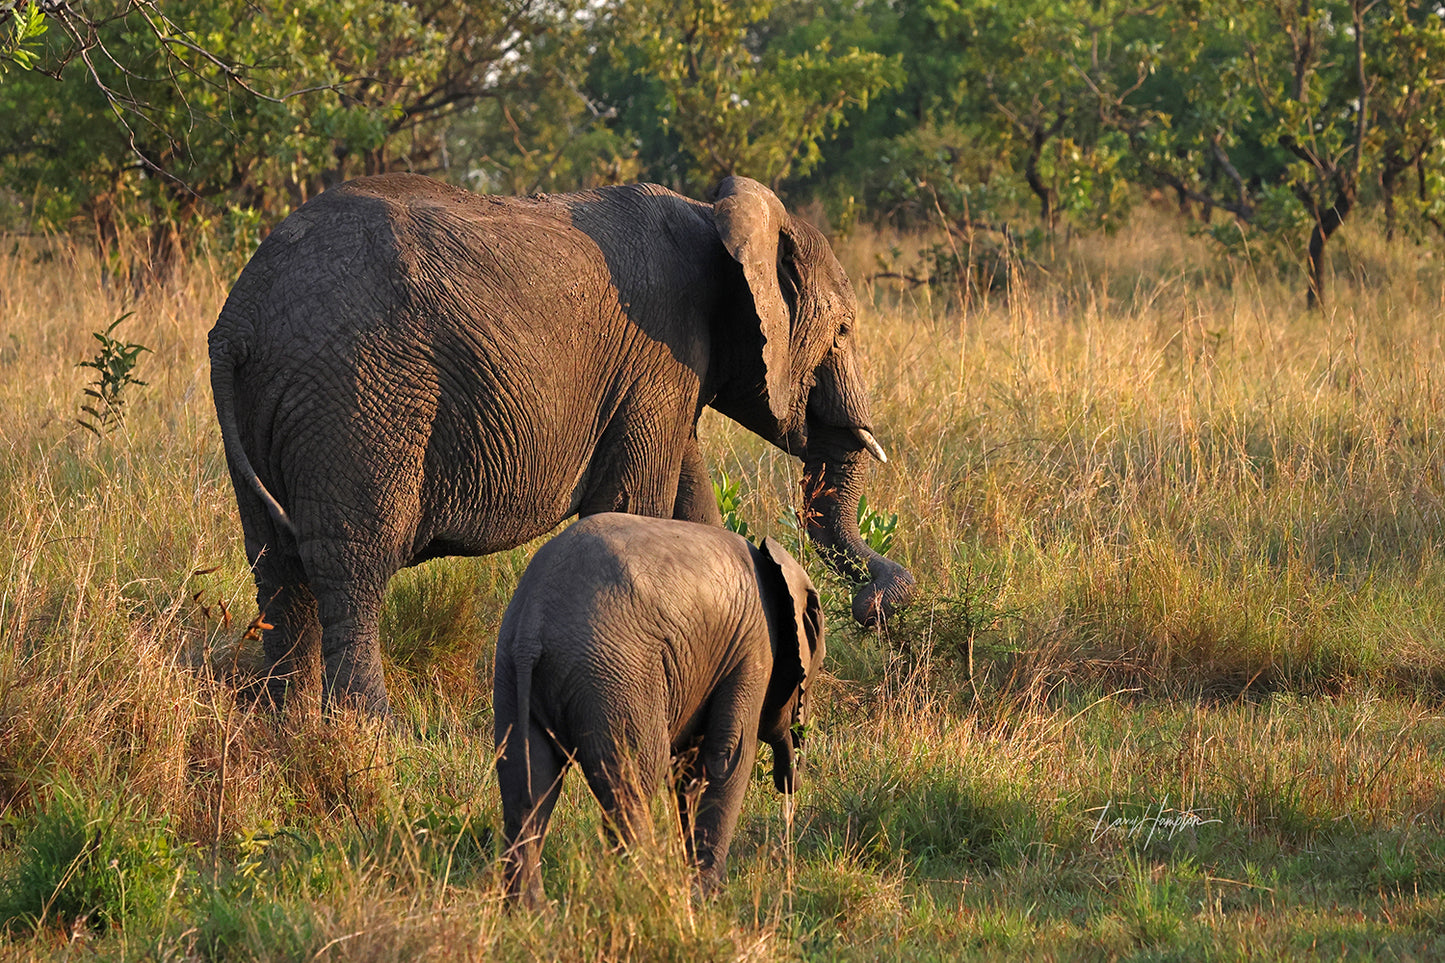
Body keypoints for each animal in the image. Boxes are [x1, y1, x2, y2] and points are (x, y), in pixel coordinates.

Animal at [209, 171, 912, 716]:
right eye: (843, 330)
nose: (875, 607)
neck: (716, 215)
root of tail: (239, 318)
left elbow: (693, 511)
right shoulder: (658, 357)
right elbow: (635, 508)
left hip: (280, 401)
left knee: (277, 565)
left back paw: (288, 721)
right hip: (360, 394)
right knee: (351, 565)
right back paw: (371, 726)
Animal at [493, 513, 824, 907]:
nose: (791, 784)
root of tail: (532, 624)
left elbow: (689, 772)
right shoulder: (754, 646)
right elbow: (726, 757)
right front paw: (703, 898)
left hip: (512, 676)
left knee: (526, 788)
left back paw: (532, 912)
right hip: (618, 677)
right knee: (633, 784)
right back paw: (641, 894)